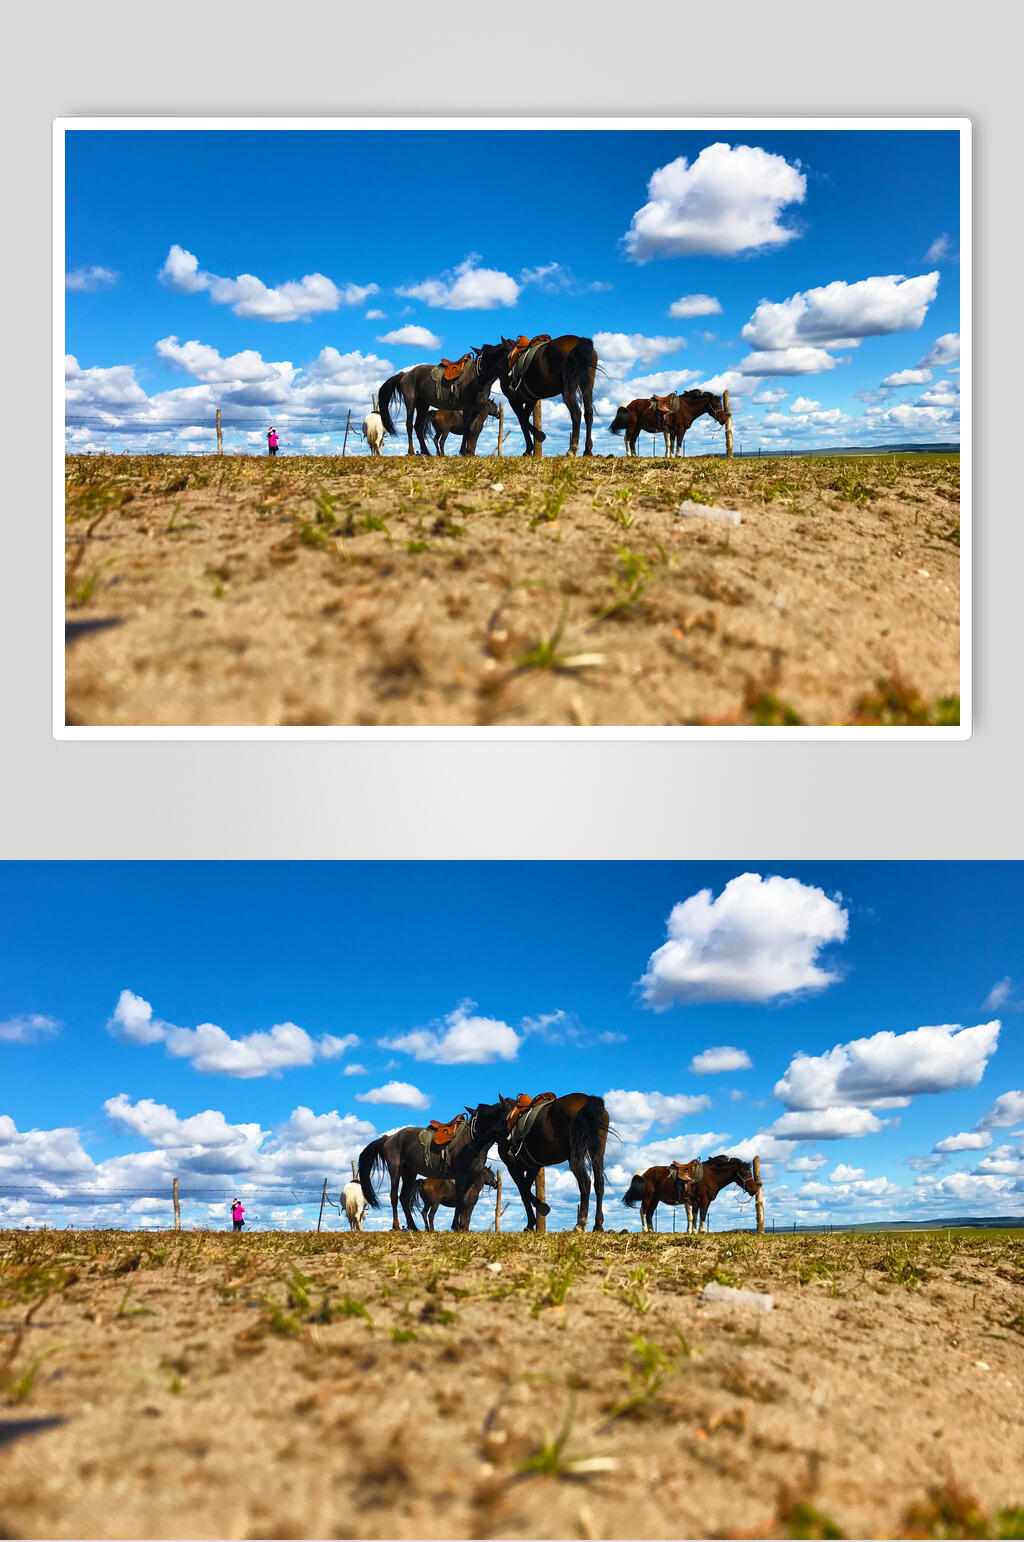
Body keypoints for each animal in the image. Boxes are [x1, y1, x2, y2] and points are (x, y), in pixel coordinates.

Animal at [357, 1102, 508, 1231]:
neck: (473, 1142)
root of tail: (389, 1138)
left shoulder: (470, 1177)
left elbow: (466, 1202)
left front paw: (463, 1227)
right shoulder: (460, 1174)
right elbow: (460, 1198)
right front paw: (456, 1226)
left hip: (409, 1173)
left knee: (404, 1198)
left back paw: (413, 1227)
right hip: (395, 1170)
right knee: (394, 1196)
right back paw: (397, 1226)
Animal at [377, 343, 508, 456]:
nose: (498, 414)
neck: (478, 378)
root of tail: (405, 374)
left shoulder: (477, 409)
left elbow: (473, 430)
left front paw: (470, 452)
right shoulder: (467, 407)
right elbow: (467, 428)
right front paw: (464, 451)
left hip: (423, 404)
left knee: (418, 427)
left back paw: (426, 452)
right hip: (410, 402)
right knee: (409, 425)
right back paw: (412, 451)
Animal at [480, 1093, 609, 1231]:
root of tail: (588, 1099)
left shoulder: (513, 1167)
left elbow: (523, 1192)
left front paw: (536, 1216)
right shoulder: (533, 1167)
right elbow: (526, 1189)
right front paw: (533, 1220)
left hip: (575, 1156)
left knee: (585, 1182)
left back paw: (580, 1223)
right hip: (597, 1152)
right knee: (599, 1183)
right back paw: (598, 1225)